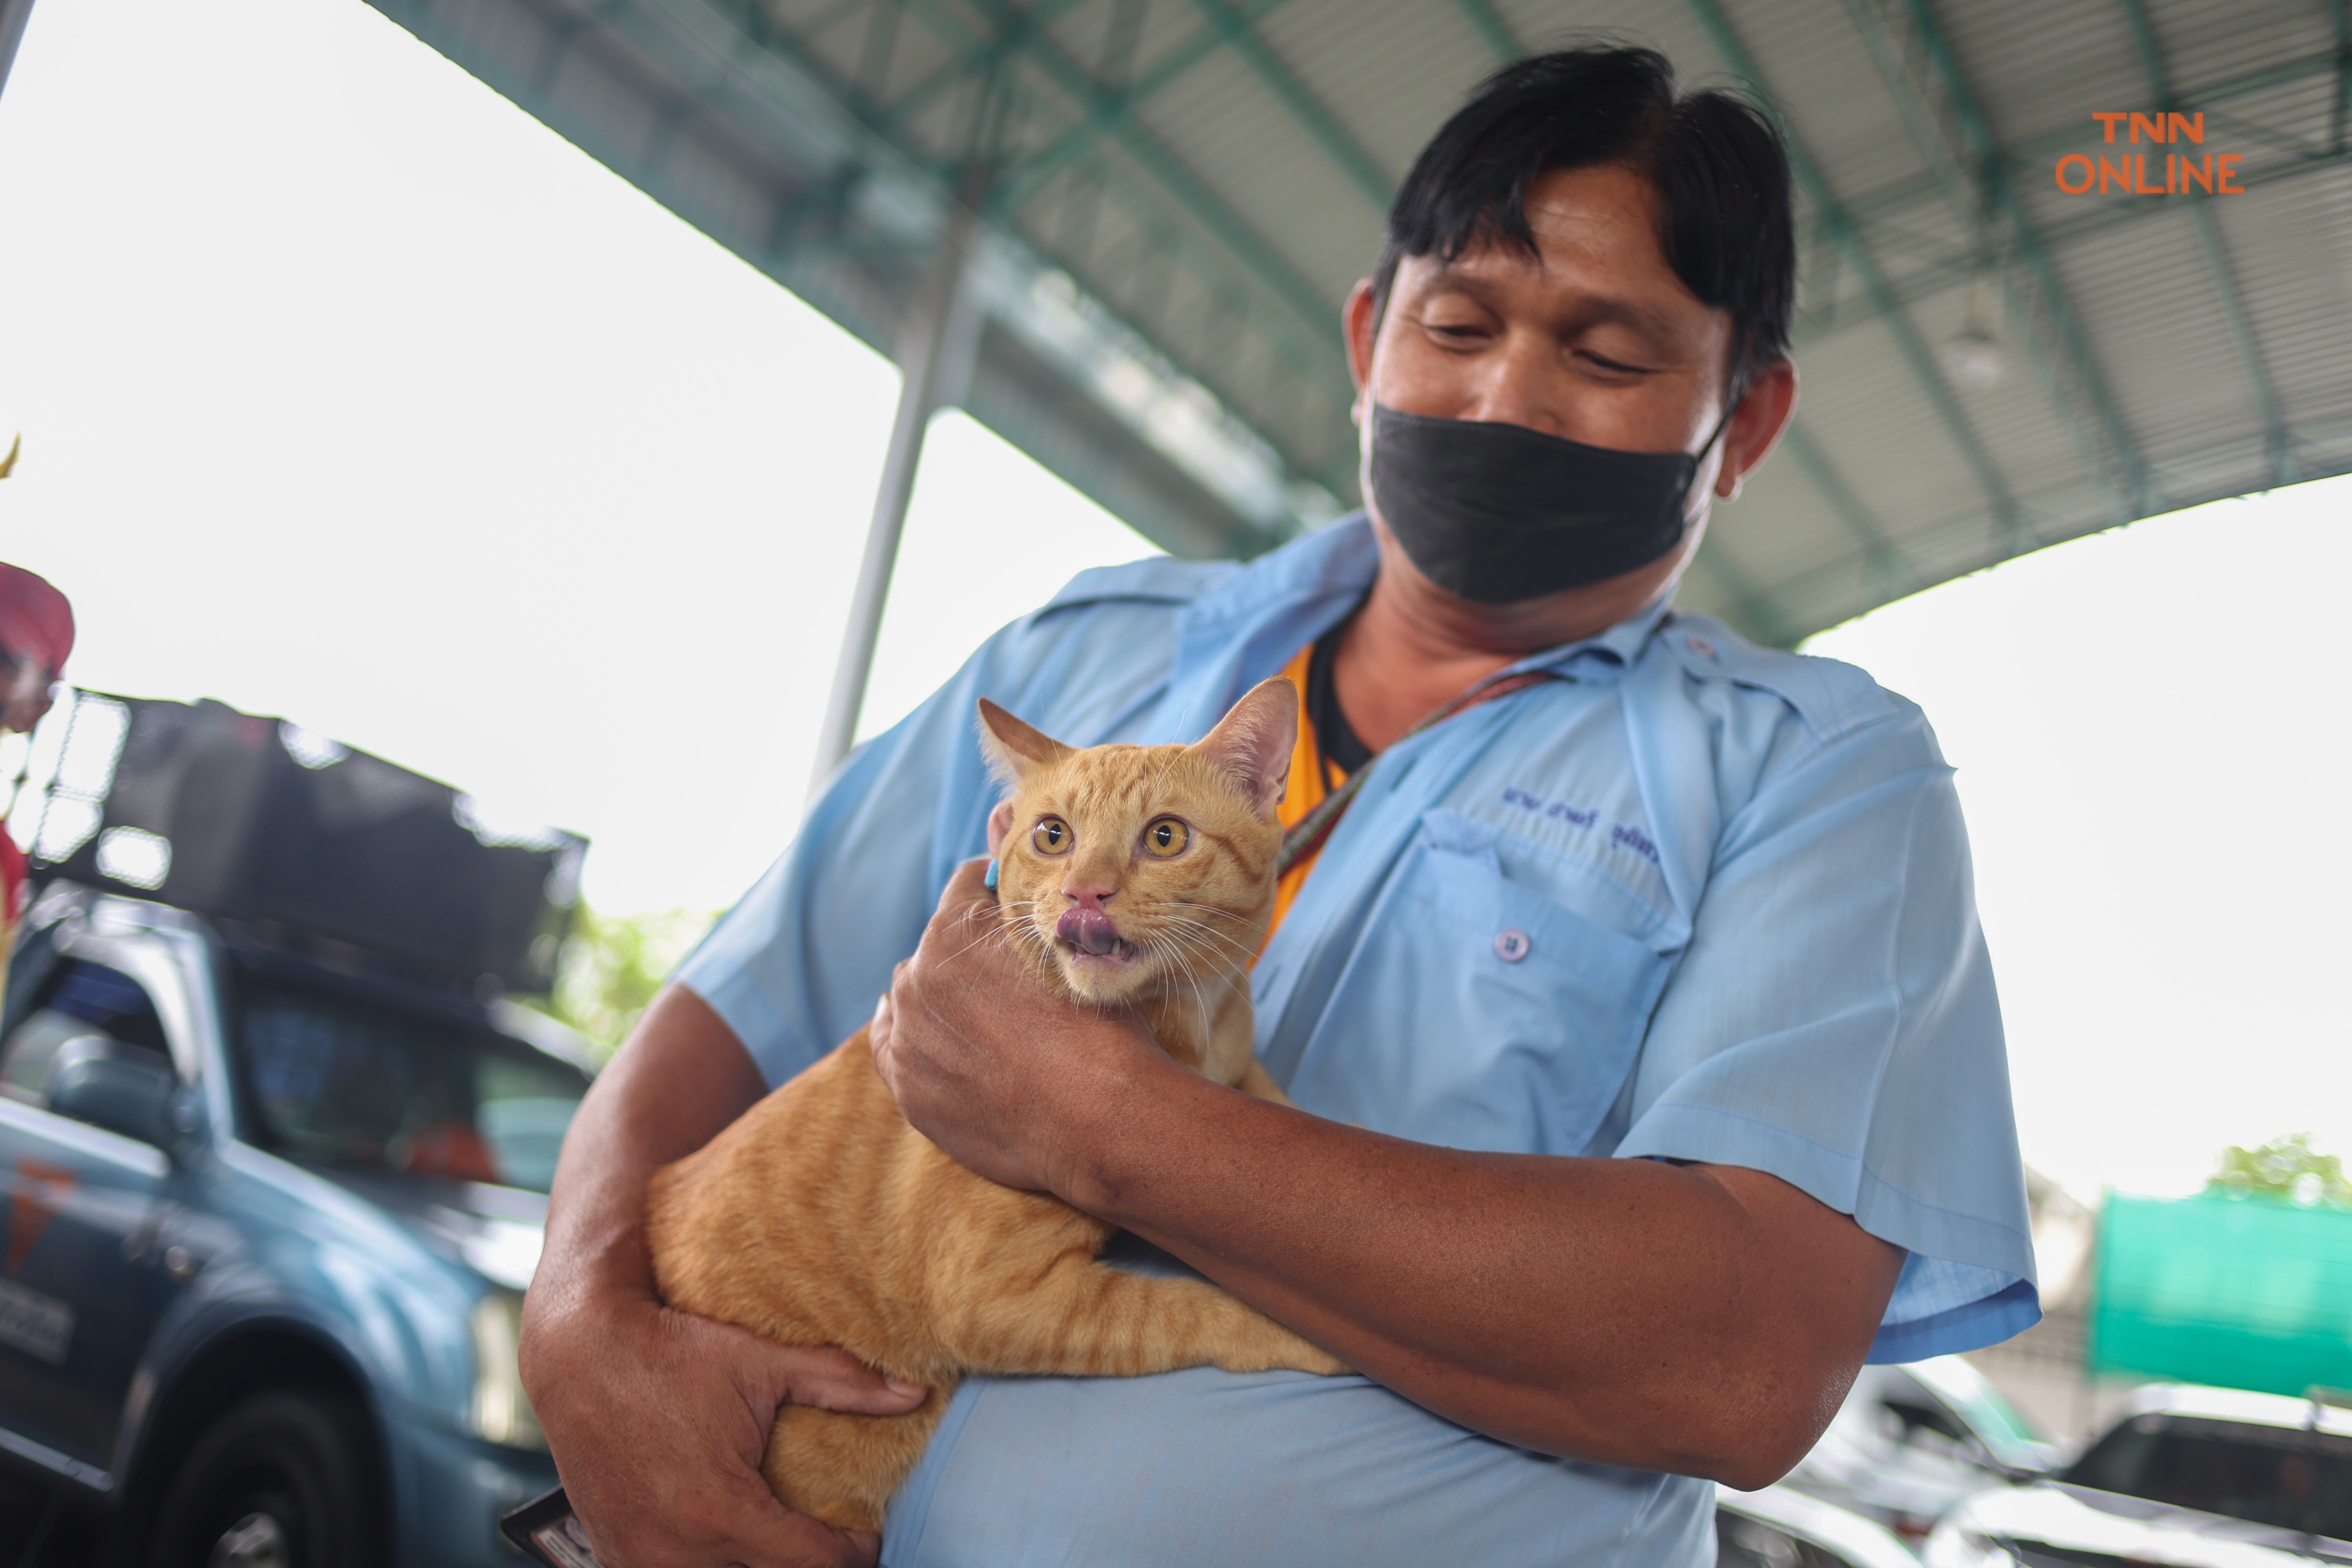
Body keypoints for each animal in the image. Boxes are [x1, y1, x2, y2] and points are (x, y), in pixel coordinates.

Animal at [649, 677, 1345, 1533]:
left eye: (1165, 837)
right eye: (1053, 835)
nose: (1085, 890)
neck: (1194, 1023)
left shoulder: (1239, 1061)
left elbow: (1276, 1103)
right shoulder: (992, 1297)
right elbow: (1184, 1313)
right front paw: (1298, 1332)